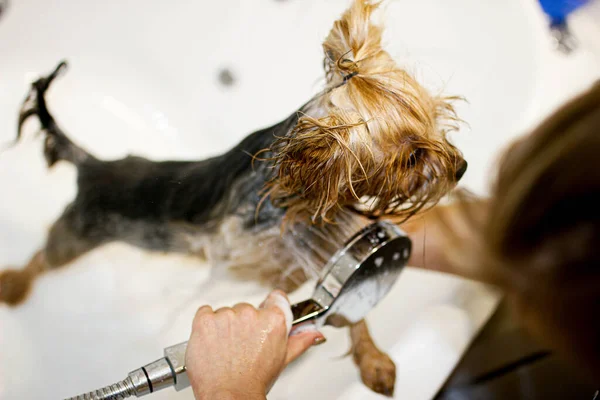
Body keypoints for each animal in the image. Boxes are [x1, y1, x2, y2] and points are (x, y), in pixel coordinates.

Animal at [0, 0, 466, 394]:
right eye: (412, 157)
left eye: (439, 119)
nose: (461, 168)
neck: (294, 196)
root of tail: (91, 164)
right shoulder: (255, 255)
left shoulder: (322, 241)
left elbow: (351, 296)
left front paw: (373, 358)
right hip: (79, 231)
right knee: (43, 257)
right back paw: (14, 284)